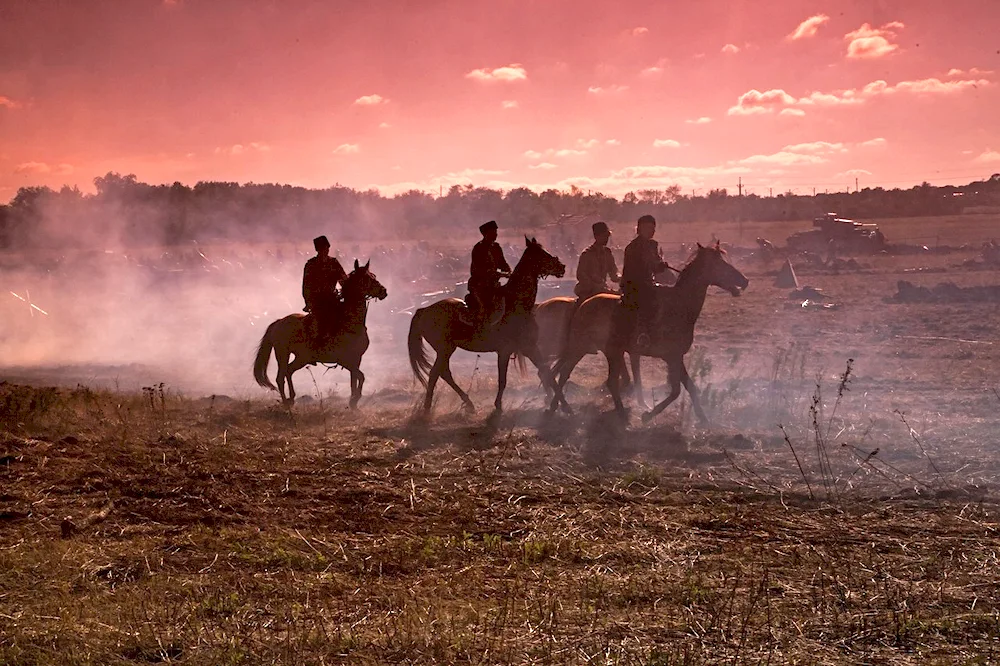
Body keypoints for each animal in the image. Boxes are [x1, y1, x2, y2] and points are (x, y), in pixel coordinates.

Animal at [254, 258, 386, 404]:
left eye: (374, 276)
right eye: (366, 278)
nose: (383, 291)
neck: (350, 323)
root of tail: (278, 322)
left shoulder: (356, 359)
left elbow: (354, 380)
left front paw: (353, 402)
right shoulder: (344, 360)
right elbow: (361, 376)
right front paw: (355, 398)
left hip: (301, 358)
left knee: (288, 371)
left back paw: (292, 398)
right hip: (283, 354)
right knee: (280, 377)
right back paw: (286, 402)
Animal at [406, 236, 564, 418]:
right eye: (541, 254)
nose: (562, 267)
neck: (516, 304)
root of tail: (424, 310)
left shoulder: (530, 348)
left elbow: (548, 373)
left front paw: (564, 406)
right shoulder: (504, 351)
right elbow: (502, 380)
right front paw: (498, 406)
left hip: (447, 349)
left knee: (444, 373)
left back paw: (468, 403)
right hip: (444, 349)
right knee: (435, 374)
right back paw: (427, 408)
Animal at [552, 241, 748, 422]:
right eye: (719, 263)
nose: (744, 281)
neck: (680, 307)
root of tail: (583, 304)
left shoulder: (676, 356)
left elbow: (689, 387)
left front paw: (703, 419)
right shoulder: (672, 357)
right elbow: (676, 391)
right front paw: (648, 415)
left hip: (604, 351)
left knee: (573, 376)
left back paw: (560, 408)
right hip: (585, 348)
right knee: (570, 376)